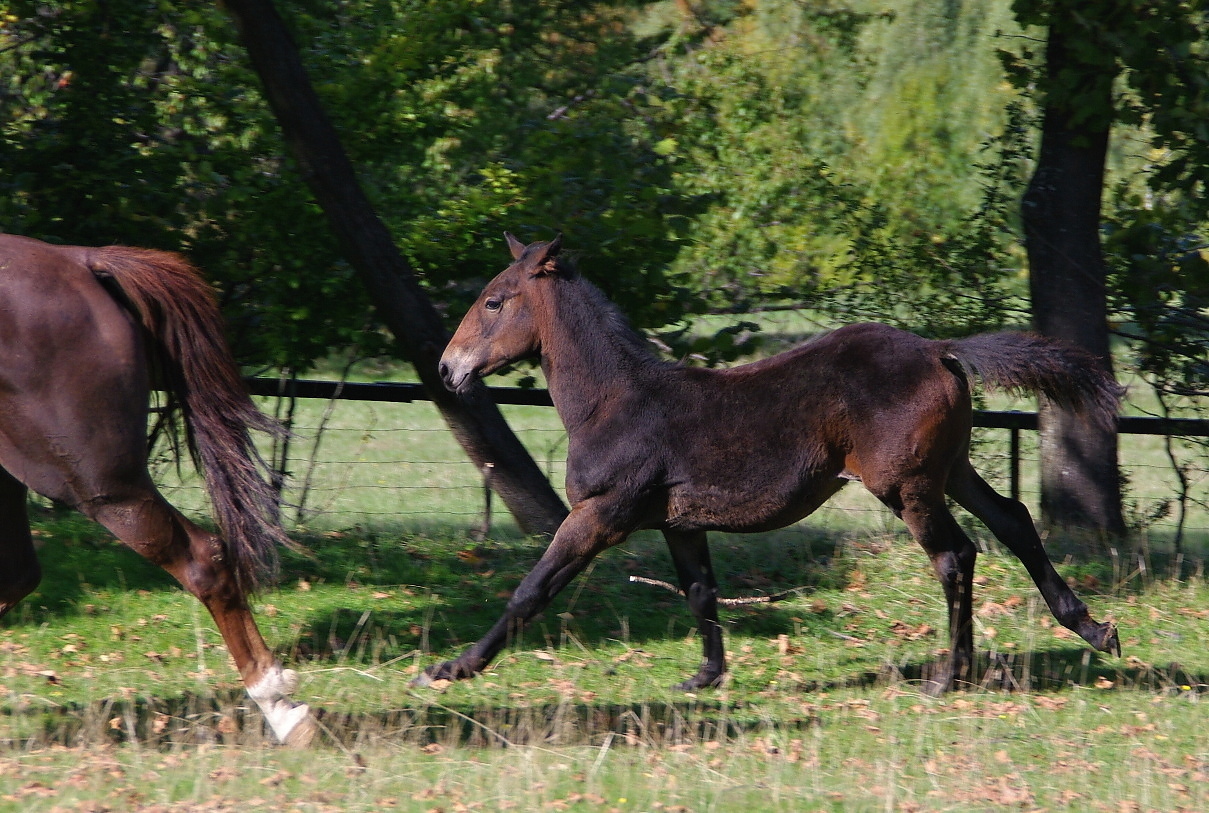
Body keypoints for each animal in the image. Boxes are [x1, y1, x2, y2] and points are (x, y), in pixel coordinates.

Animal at [423, 233, 1121, 692]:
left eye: (493, 301)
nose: (448, 369)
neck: (615, 400)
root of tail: (938, 350)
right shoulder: (679, 523)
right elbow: (700, 592)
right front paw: (706, 677)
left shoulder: (601, 514)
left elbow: (531, 590)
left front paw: (454, 667)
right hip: (949, 470)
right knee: (1013, 521)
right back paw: (1092, 629)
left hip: (907, 485)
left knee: (956, 556)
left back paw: (950, 676)